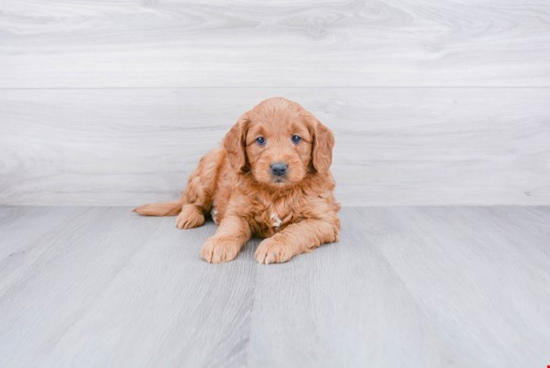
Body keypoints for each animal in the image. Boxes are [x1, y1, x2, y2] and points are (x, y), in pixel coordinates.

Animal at [135, 96, 340, 264]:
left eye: (296, 138)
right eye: (260, 140)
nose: (279, 168)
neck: (276, 193)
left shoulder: (325, 221)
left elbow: (296, 230)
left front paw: (274, 245)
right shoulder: (237, 212)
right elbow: (231, 228)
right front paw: (219, 243)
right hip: (209, 166)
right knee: (191, 202)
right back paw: (189, 216)